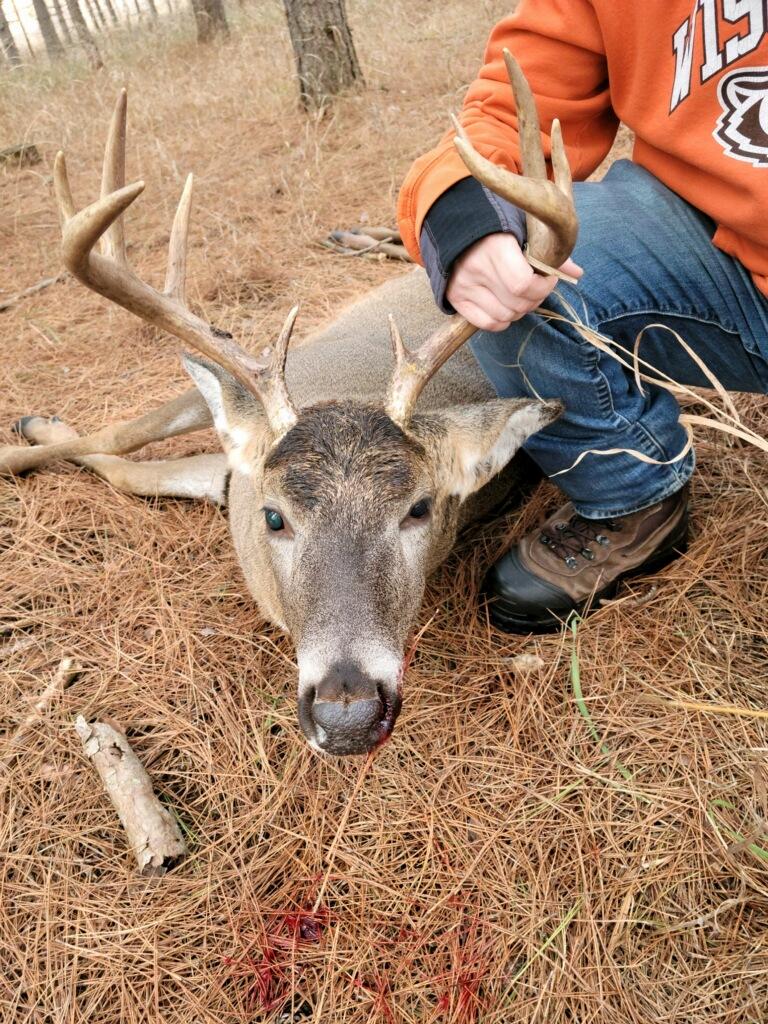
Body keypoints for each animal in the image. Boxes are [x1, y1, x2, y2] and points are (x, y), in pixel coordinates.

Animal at [3, 53, 577, 756]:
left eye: (421, 509)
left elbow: (126, 466)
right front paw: (26, 433)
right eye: (275, 517)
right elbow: (117, 445)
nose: (348, 711)